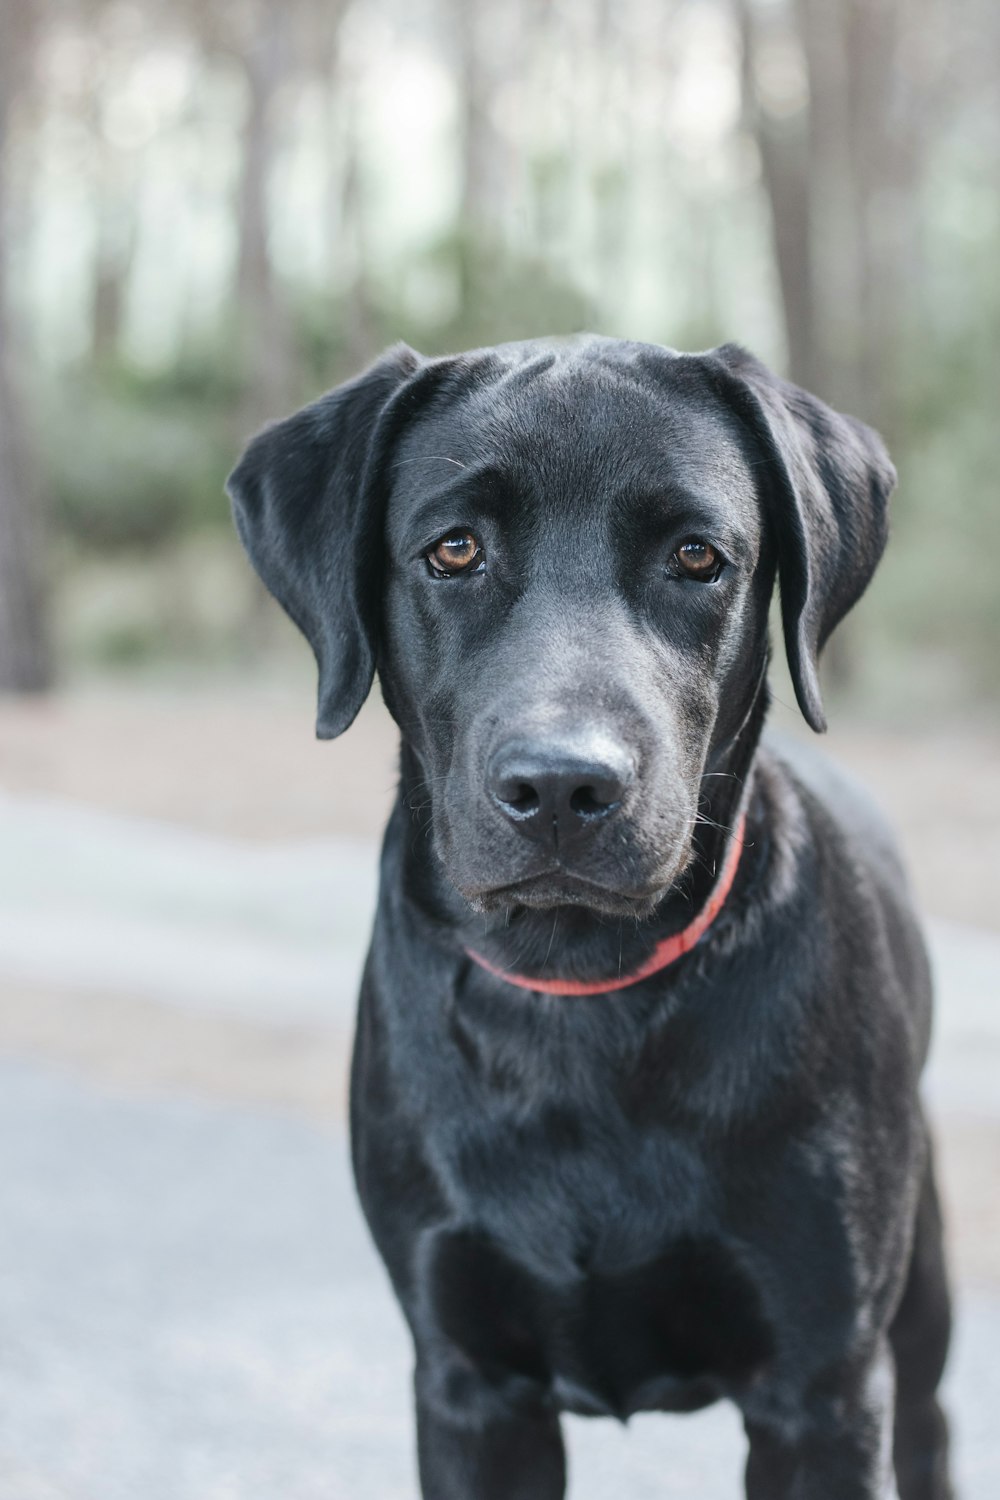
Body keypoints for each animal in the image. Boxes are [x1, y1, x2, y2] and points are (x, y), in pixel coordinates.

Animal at [229, 340, 953, 1500]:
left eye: (698, 556)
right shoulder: (469, 1382)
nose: (565, 786)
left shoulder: (821, 1390)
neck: (580, 995)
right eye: (455, 550)